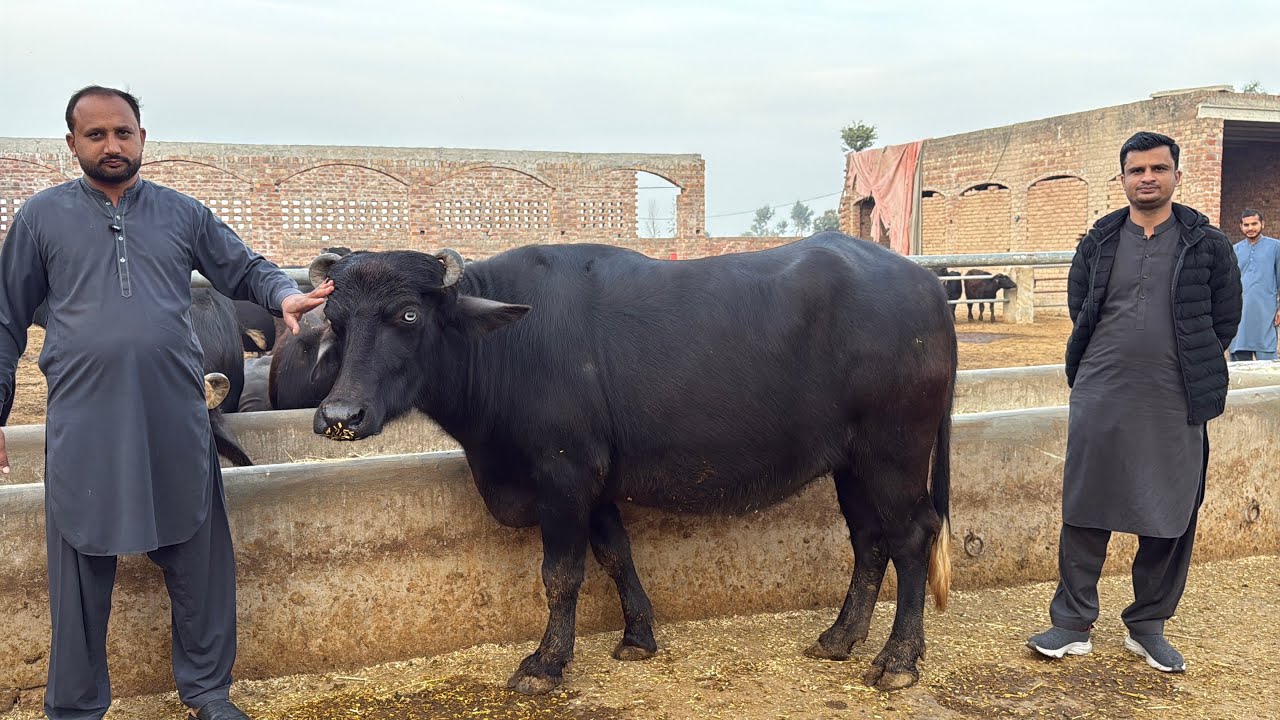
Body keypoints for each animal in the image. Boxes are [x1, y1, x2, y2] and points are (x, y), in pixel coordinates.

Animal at [310, 232, 956, 694]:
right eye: (335, 321)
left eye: (408, 315)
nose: (341, 414)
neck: (506, 345)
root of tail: (926, 283)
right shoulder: (594, 481)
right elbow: (616, 554)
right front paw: (638, 636)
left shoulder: (563, 474)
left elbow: (561, 574)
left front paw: (545, 664)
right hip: (853, 462)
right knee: (868, 539)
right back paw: (840, 637)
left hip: (895, 452)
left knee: (912, 536)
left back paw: (897, 660)